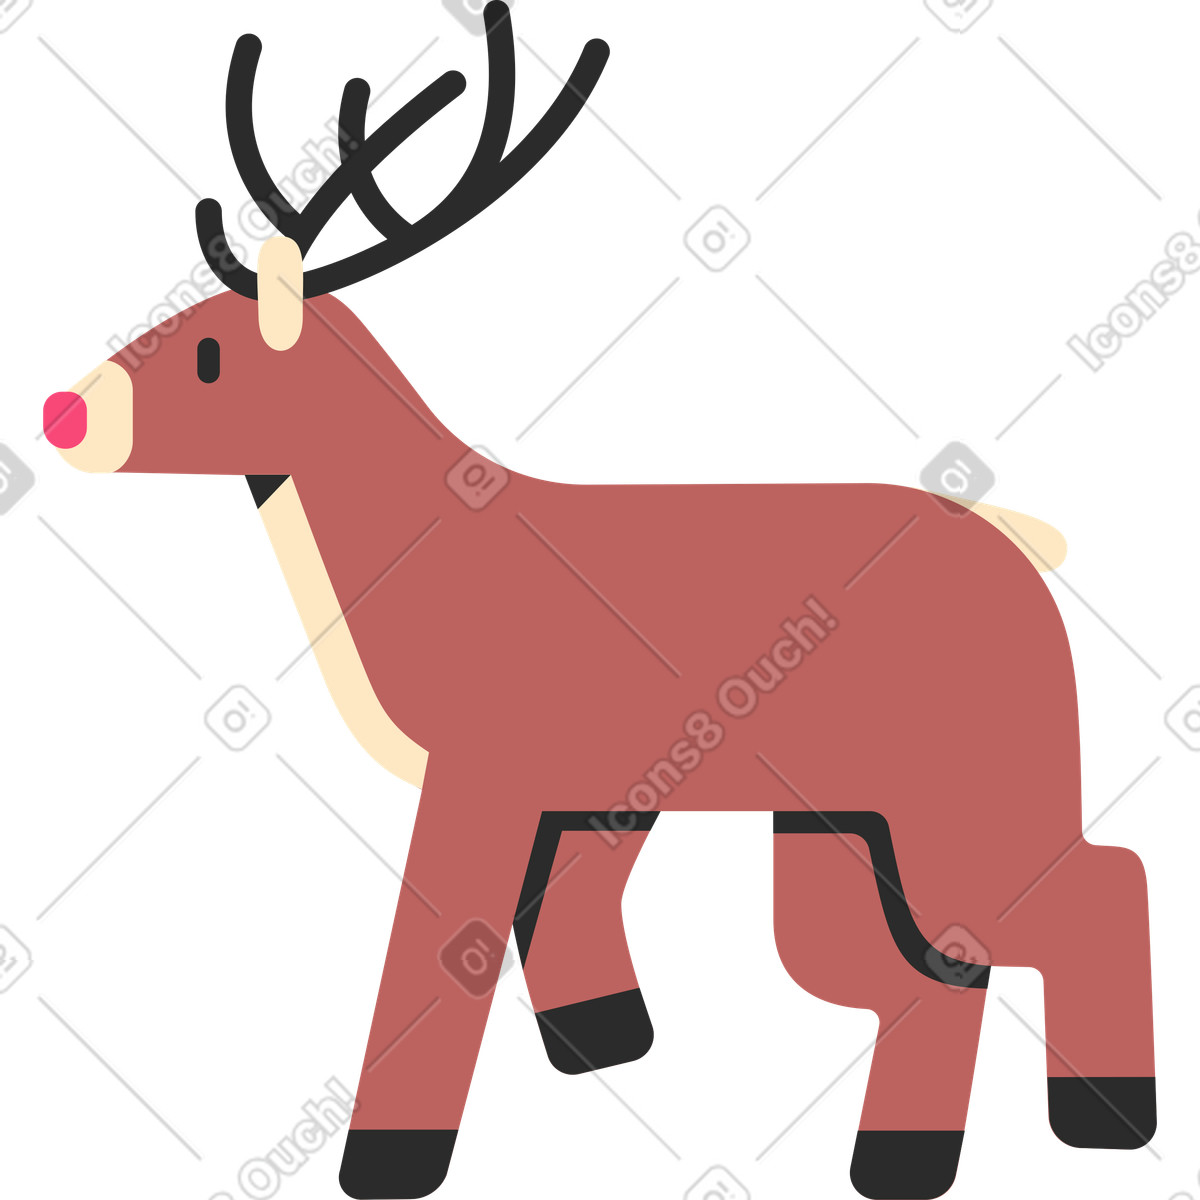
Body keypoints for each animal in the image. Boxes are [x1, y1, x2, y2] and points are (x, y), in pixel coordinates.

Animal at [43, 5, 1154, 1198]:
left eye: (210, 355)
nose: (64, 415)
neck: (416, 542)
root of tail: (1025, 548)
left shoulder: (484, 772)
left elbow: (446, 948)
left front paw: (391, 1161)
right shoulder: (591, 786)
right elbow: (571, 913)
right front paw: (606, 1041)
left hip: (970, 794)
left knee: (1093, 891)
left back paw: (1102, 1121)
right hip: (842, 833)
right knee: (942, 966)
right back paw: (913, 1158)